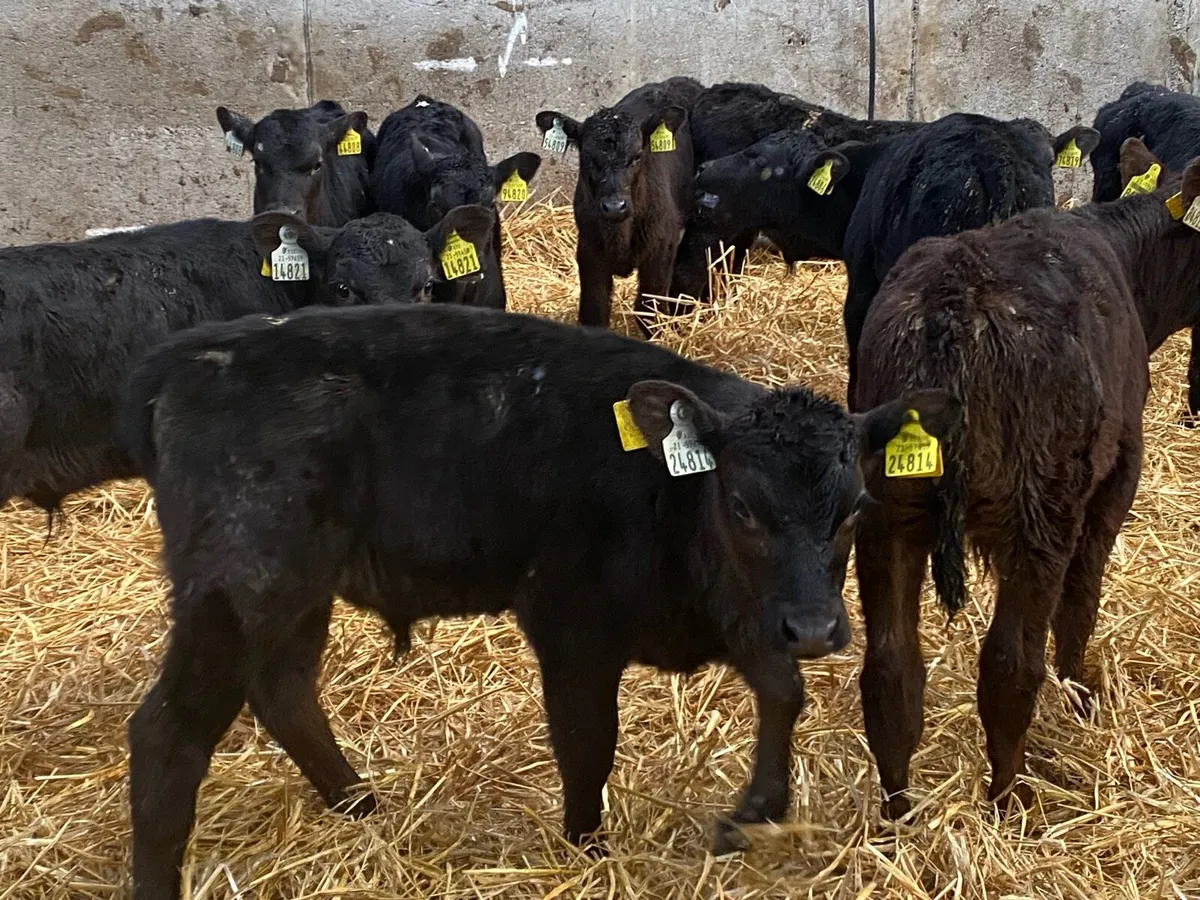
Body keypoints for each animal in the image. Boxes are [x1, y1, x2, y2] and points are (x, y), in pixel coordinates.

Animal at [118, 302, 955, 900]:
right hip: (241, 585)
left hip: (294, 591)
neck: (669, 495)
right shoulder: (570, 627)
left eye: (853, 508)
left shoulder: (743, 617)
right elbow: (588, 742)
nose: (814, 627)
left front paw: (754, 812)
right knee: (169, 734)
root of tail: (195, 356)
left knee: (283, 691)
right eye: (744, 506)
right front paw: (588, 847)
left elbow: (783, 694)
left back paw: (358, 803)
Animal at [536, 76, 705, 332]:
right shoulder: (589, 251)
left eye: (637, 156)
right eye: (587, 157)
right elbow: (593, 313)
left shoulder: (661, 250)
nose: (615, 206)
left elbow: (648, 312)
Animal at [850, 138, 1200, 821]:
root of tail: (954, 304)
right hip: (1042, 510)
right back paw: (1008, 803)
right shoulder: (1117, 474)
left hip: (886, 513)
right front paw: (1080, 696)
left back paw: (898, 817)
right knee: (1010, 666)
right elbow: (1082, 596)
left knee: (890, 669)